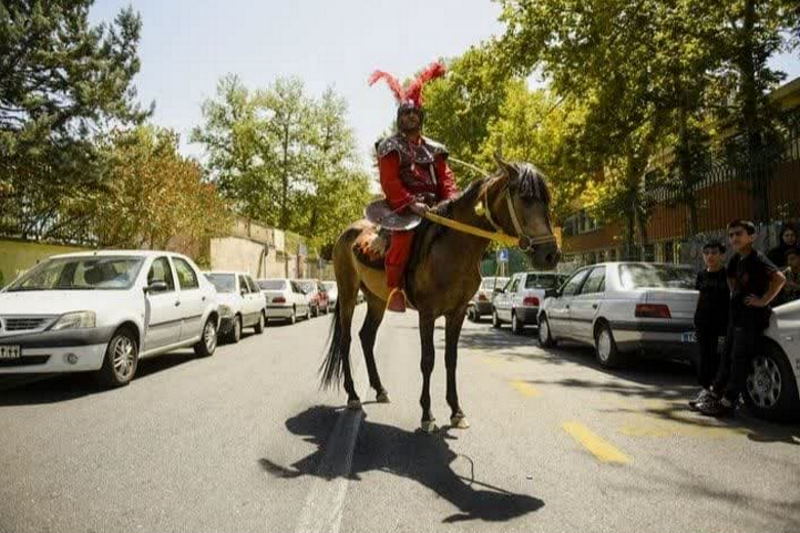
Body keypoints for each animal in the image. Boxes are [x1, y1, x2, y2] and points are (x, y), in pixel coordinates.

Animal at [318, 158, 556, 432]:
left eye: (546, 200)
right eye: (525, 199)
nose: (550, 254)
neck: (455, 248)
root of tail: (347, 234)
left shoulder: (458, 313)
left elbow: (450, 359)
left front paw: (456, 411)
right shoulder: (427, 313)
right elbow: (428, 359)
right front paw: (427, 414)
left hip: (377, 299)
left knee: (366, 337)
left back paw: (379, 389)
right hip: (348, 292)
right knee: (346, 340)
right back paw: (353, 395)